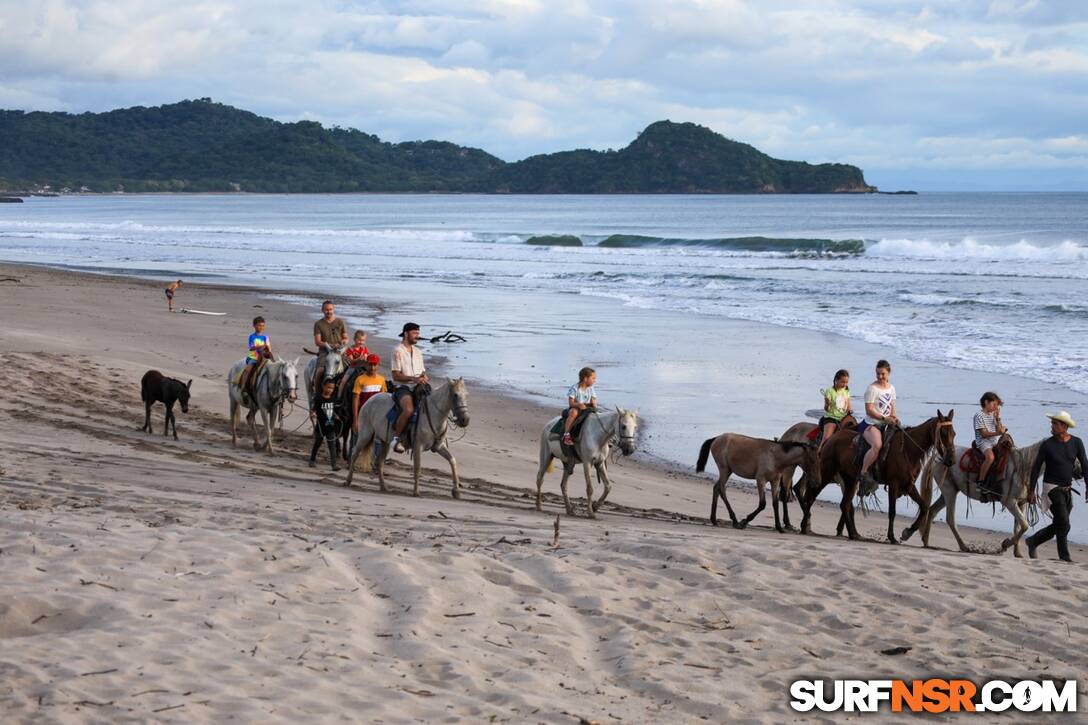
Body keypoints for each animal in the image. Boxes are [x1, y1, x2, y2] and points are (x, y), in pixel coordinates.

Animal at [796, 411, 957, 542]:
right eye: (943, 433)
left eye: (954, 433)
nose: (951, 460)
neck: (907, 450)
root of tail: (831, 438)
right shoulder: (894, 484)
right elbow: (892, 512)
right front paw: (892, 537)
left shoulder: (908, 485)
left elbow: (924, 507)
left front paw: (907, 532)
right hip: (826, 473)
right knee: (811, 497)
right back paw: (804, 526)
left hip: (850, 480)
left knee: (844, 505)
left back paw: (854, 534)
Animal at [900, 435, 1044, 553]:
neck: (1022, 467)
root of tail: (936, 457)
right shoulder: (1009, 502)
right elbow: (1024, 525)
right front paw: (1005, 544)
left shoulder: (1021, 503)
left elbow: (1018, 527)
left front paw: (1017, 553)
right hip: (949, 491)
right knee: (950, 519)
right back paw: (963, 546)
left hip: (947, 492)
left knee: (932, 511)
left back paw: (926, 542)